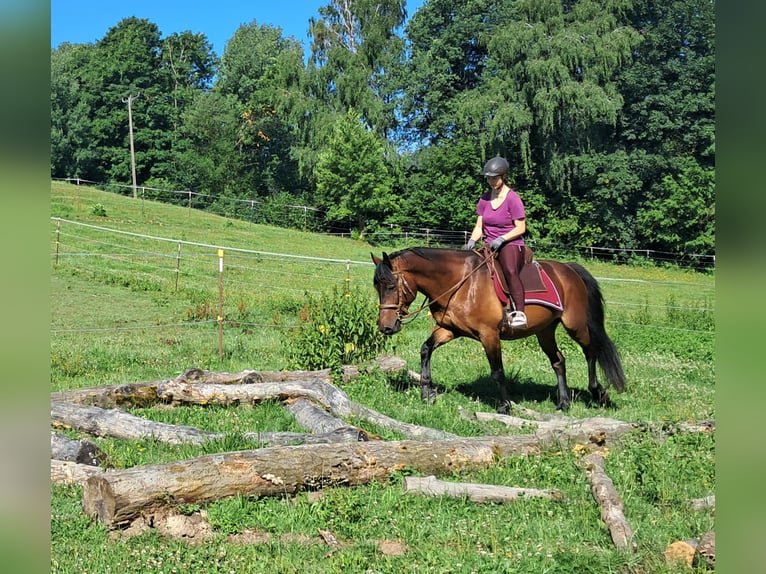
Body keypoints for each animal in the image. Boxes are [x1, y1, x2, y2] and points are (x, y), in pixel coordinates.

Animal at [371, 247, 626, 411]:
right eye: (377, 287)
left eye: (391, 286)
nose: (386, 327)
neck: (461, 283)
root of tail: (569, 270)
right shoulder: (449, 329)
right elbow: (426, 349)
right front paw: (427, 392)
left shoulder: (489, 335)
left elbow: (497, 371)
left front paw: (505, 406)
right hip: (544, 331)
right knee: (559, 360)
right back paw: (563, 402)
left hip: (576, 326)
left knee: (591, 351)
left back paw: (597, 392)